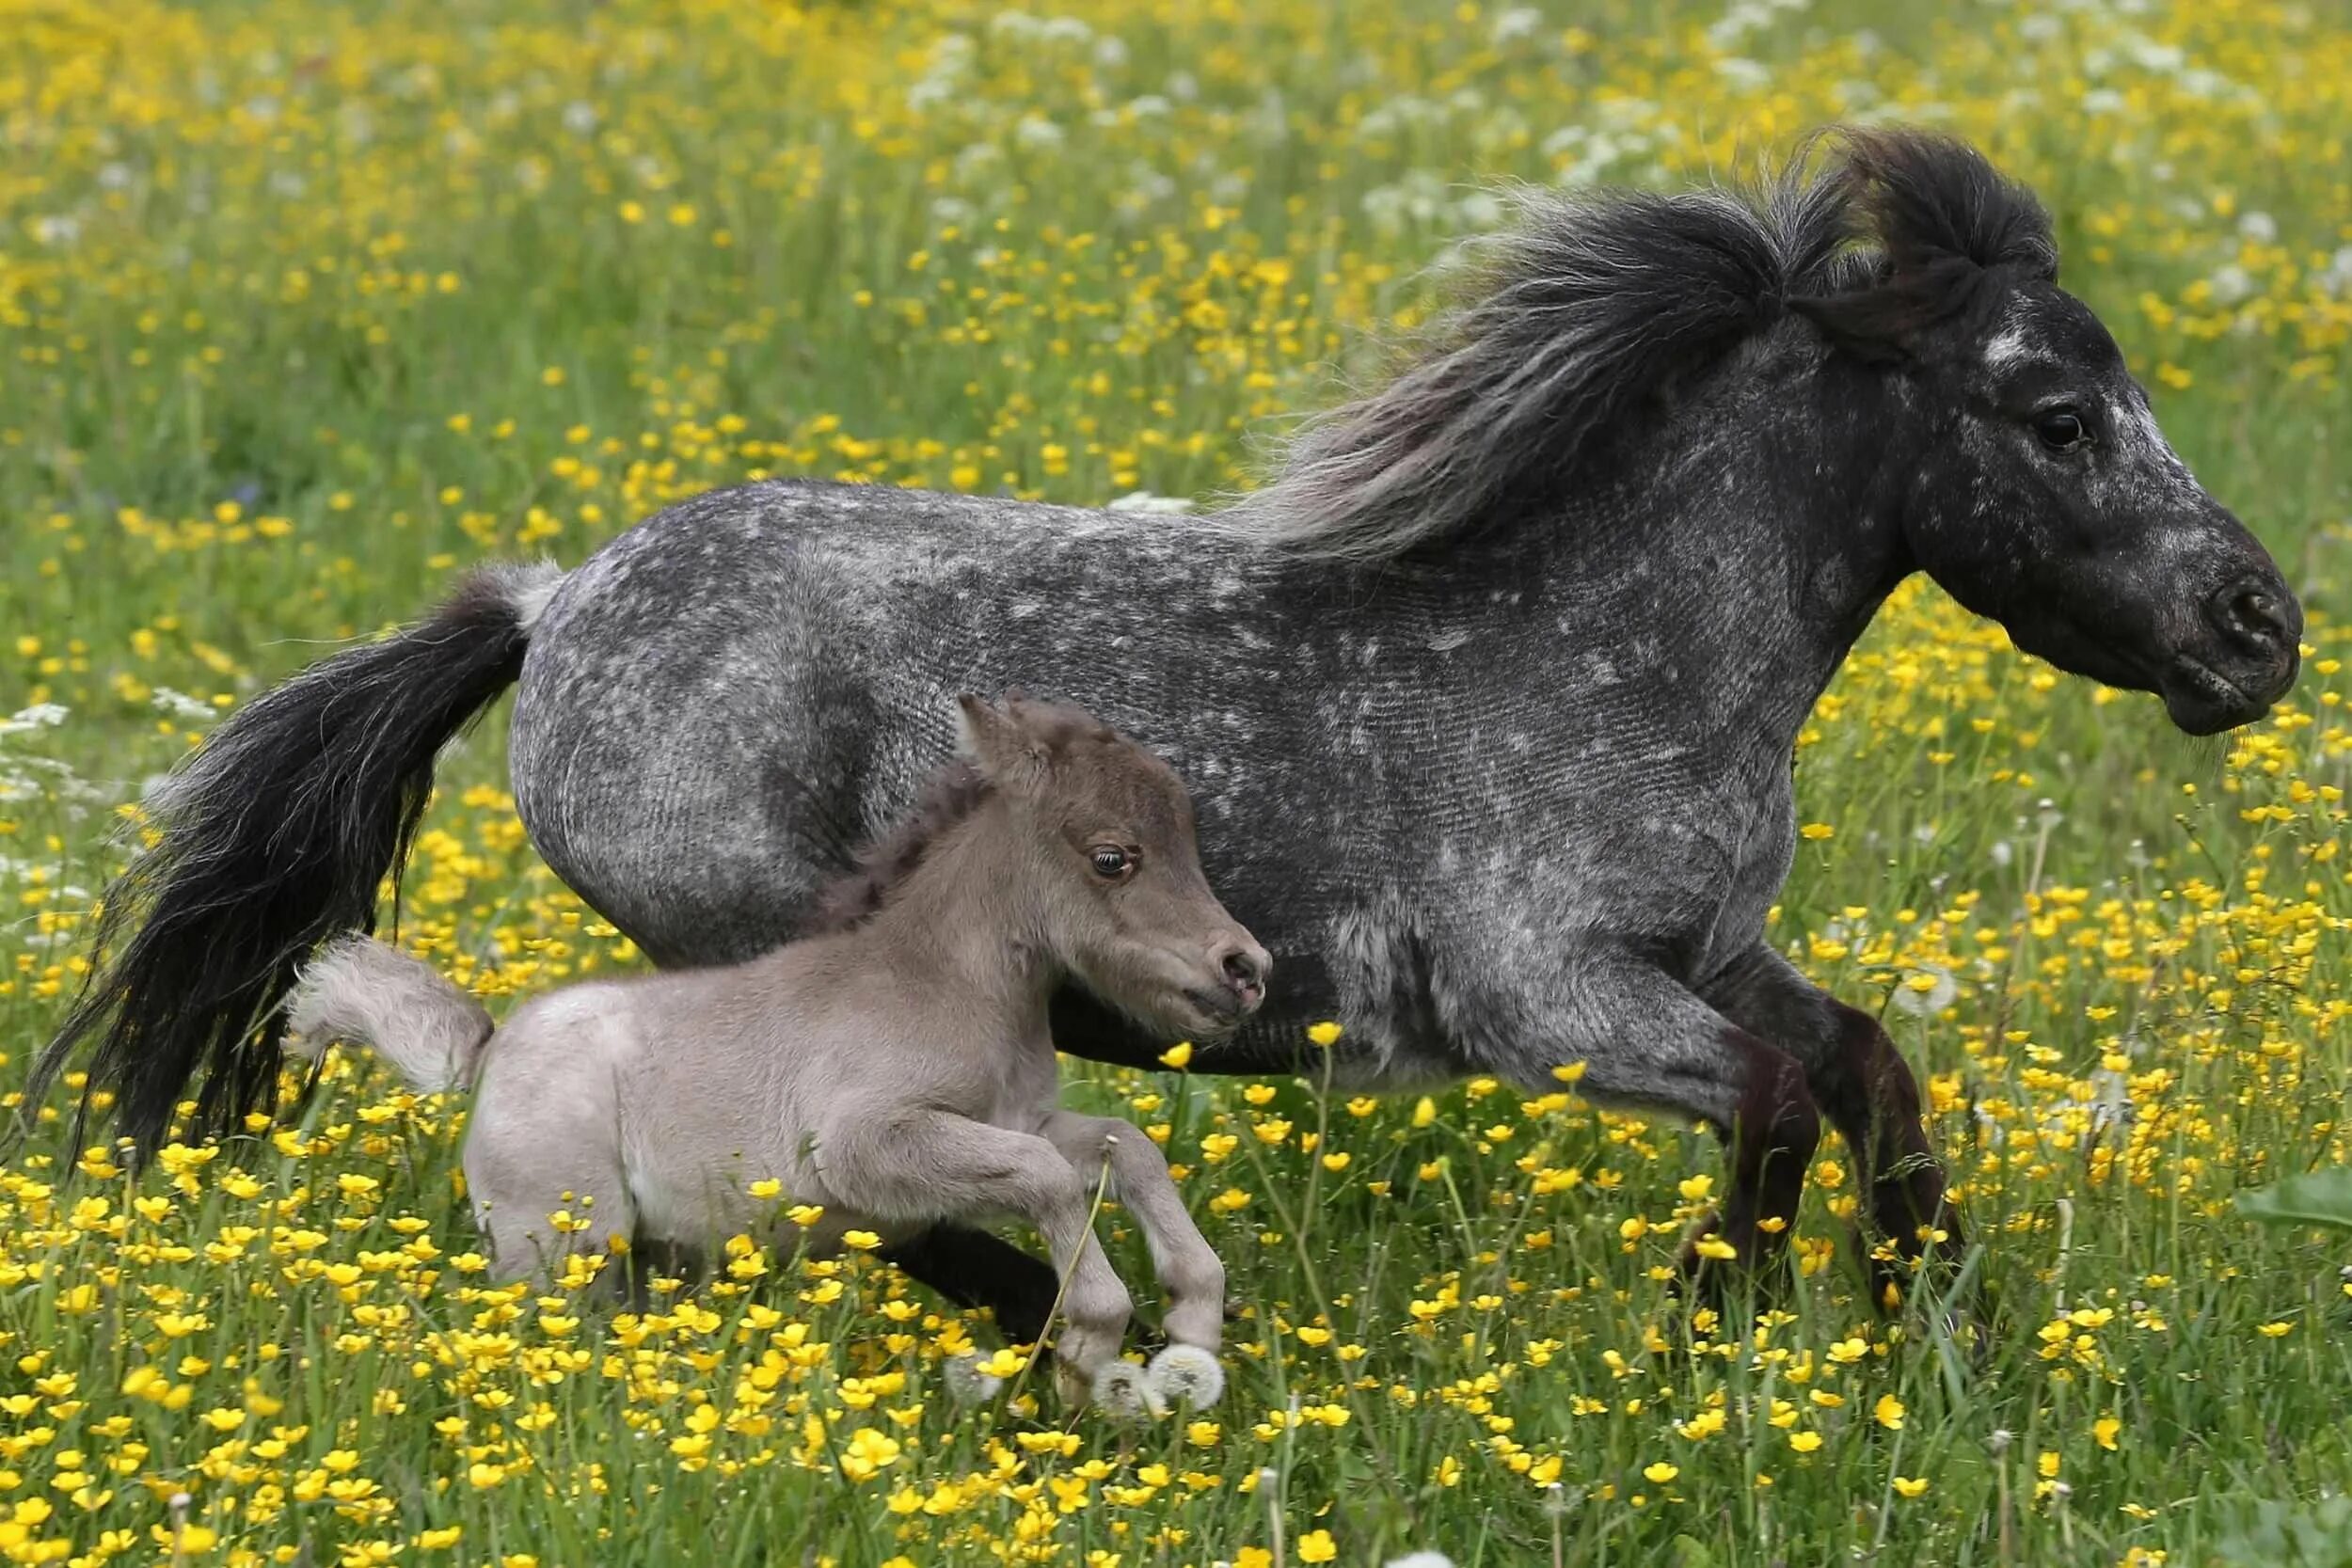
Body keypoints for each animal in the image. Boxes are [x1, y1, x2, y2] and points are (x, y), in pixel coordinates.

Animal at [45, 128, 2305, 1316]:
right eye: (2055, 413)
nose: (2259, 628)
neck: (1619, 651)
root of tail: (557, 599)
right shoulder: (1545, 999)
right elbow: (1773, 1101)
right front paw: (1724, 1332)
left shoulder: (1704, 948)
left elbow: (1867, 1069)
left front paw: (1913, 1325)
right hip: (760, 960)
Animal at [287, 700, 1270, 1410]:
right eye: (1112, 857)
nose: (1247, 969)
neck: (946, 985)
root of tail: (489, 1052)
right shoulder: (865, 1144)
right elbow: (1049, 1177)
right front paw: (1089, 1345)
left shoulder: (1016, 1117)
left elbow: (1122, 1150)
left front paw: (1193, 1323)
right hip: (562, 1251)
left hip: (645, 1258)